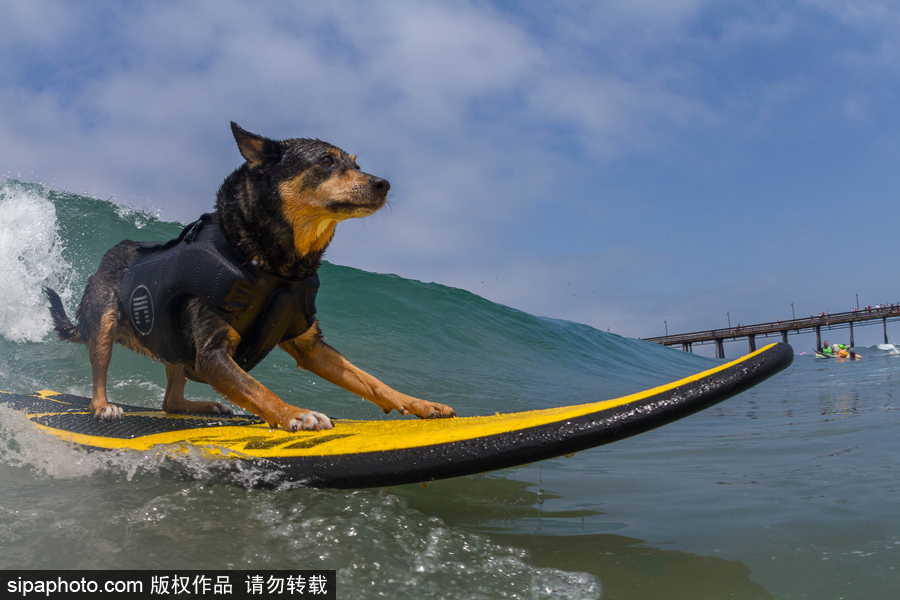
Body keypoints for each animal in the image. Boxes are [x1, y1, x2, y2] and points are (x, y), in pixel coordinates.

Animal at [43, 122, 454, 432]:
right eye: (325, 161)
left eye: (356, 162)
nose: (383, 184)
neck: (272, 265)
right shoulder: (212, 353)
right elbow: (258, 390)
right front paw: (296, 414)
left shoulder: (310, 346)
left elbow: (372, 381)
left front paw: (420, 403)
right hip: (104, 319)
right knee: (101, 367)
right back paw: (103, 406)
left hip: (171, 343)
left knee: (170, 400)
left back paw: (200, 405)